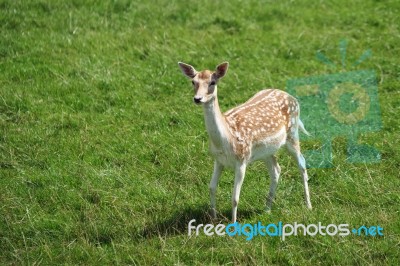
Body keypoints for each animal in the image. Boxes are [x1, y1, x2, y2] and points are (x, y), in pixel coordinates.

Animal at [178, 60, 312, 222]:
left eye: (212, 82)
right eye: (193, 82)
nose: (197, 99)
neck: (225, 140)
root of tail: (292, 98)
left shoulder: (242, 160)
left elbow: (235, 198)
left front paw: (233, 223)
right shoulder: (218, 160)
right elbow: (211, 188)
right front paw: (214, 220)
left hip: (292, 134)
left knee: (302, 163)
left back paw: (308, 206)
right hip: (266, 151)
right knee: (276, 169)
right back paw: (267, 209)